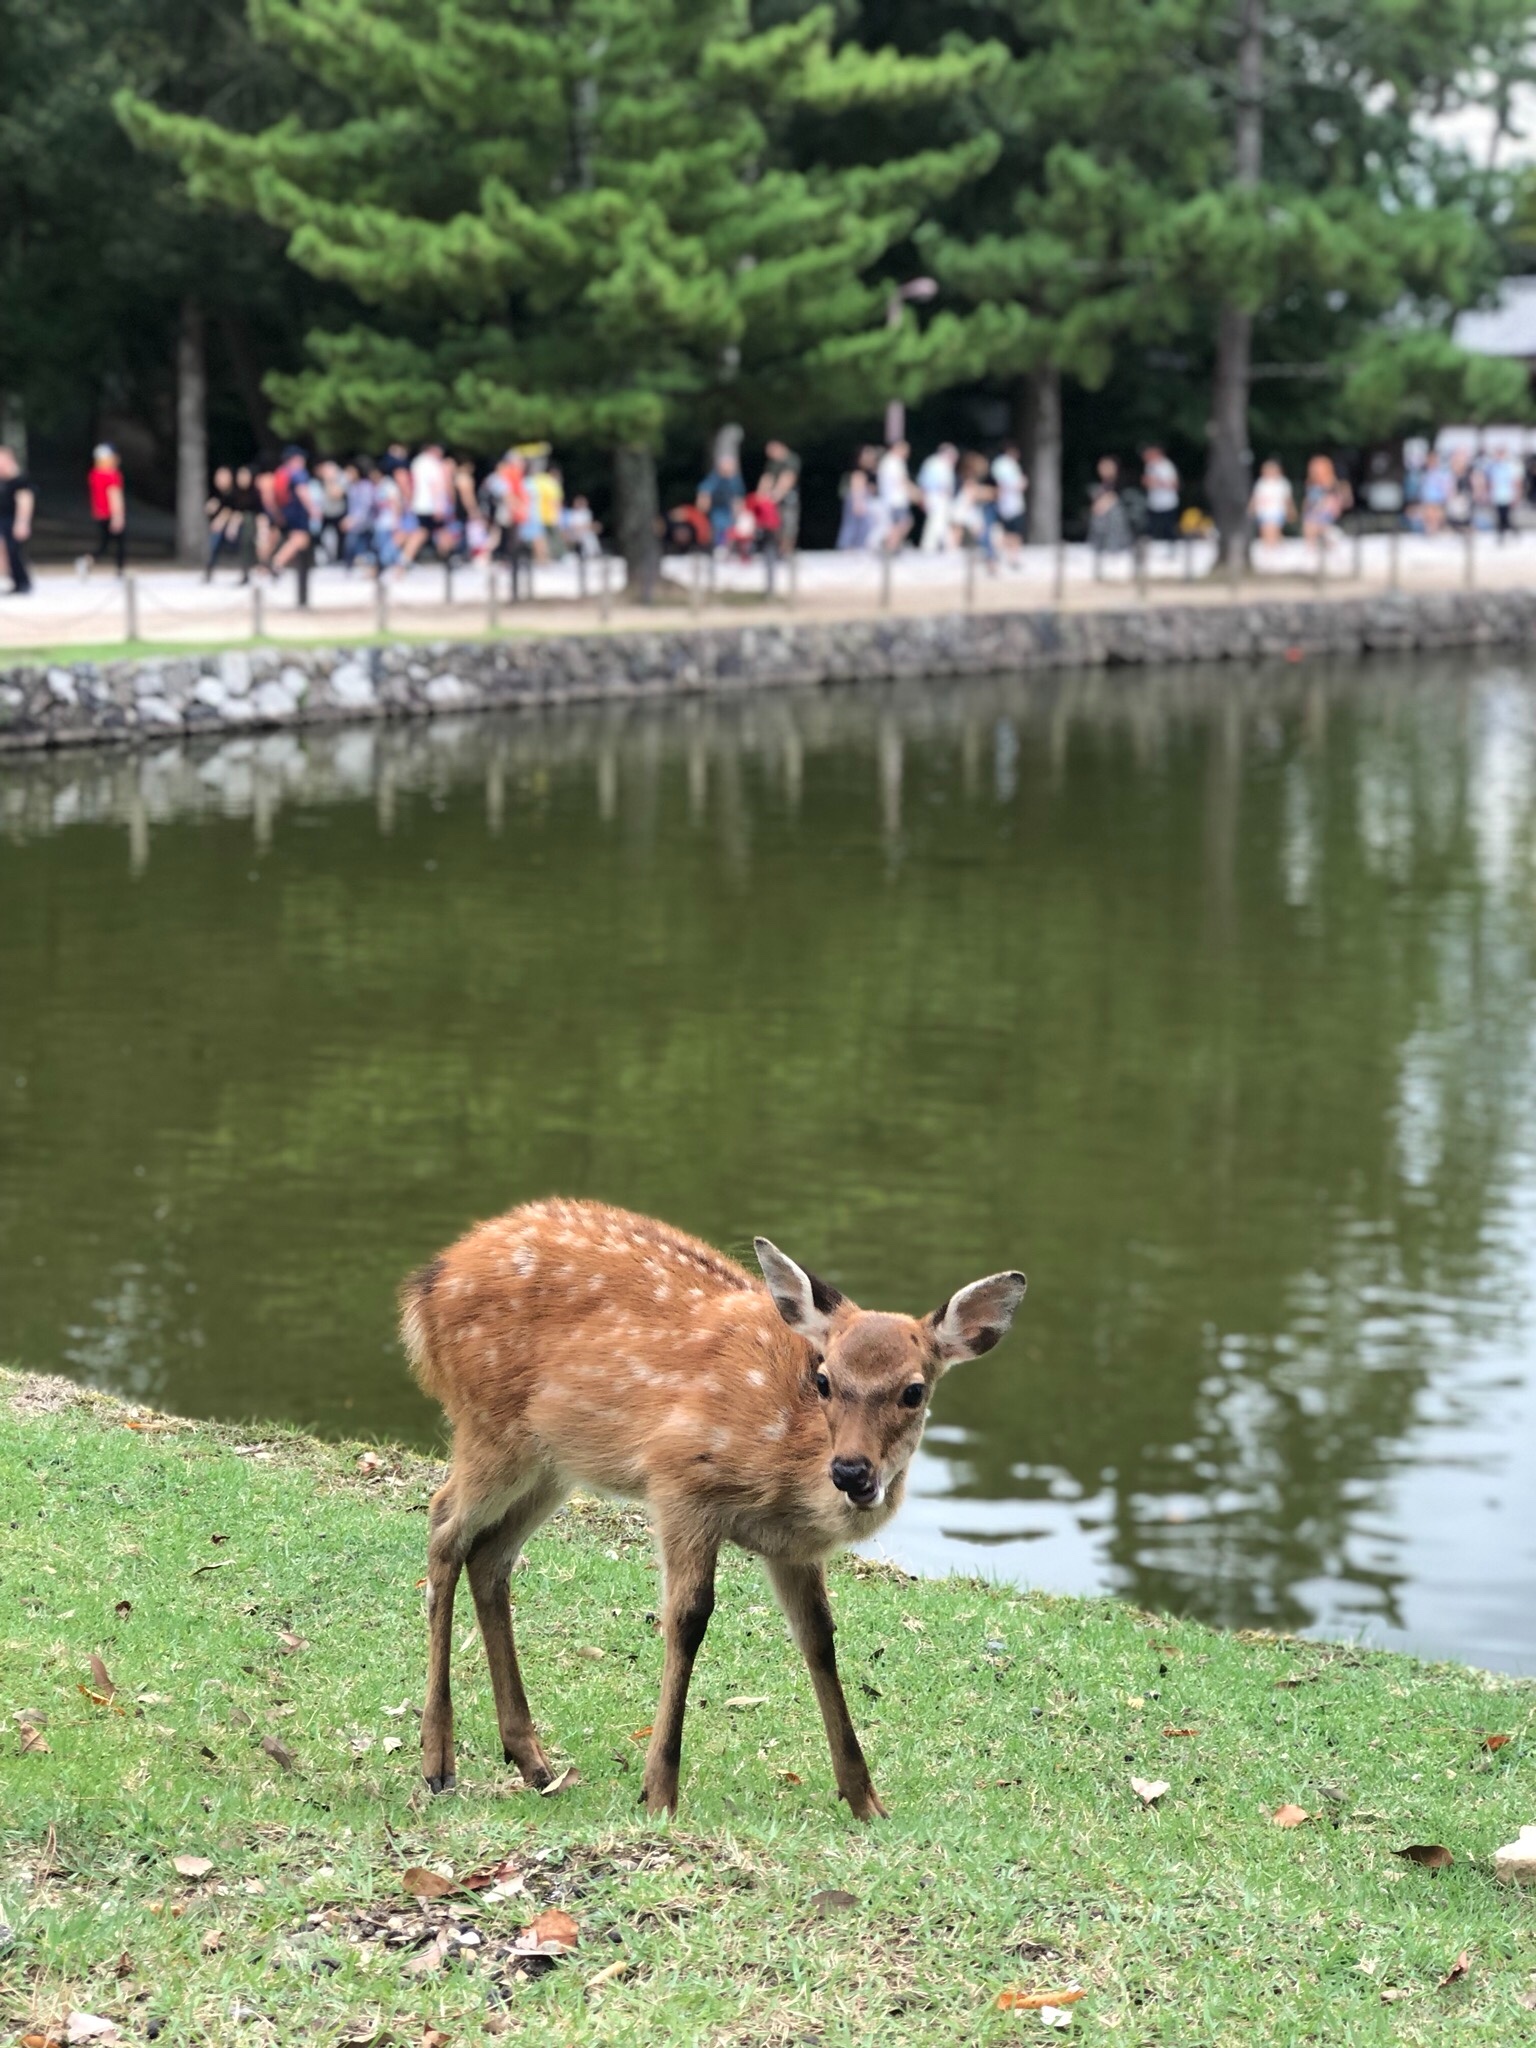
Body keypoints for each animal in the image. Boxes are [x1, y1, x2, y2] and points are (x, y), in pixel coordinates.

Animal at [397, 1196, 1028, 1818]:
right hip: (491, 1427)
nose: (852, 1472)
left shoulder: (791, 1550)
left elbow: (819, 1636)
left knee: (490, 1555)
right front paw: (659, 1793)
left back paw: (532, 1760)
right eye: (825, 1380)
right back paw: (437, 1761)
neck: (786, 1469)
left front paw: (865, 1800)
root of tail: (426, 1287)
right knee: (444, 1523)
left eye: (913, 1391)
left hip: (553, 1463)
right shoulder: (680, 1486)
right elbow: (689, 1618)